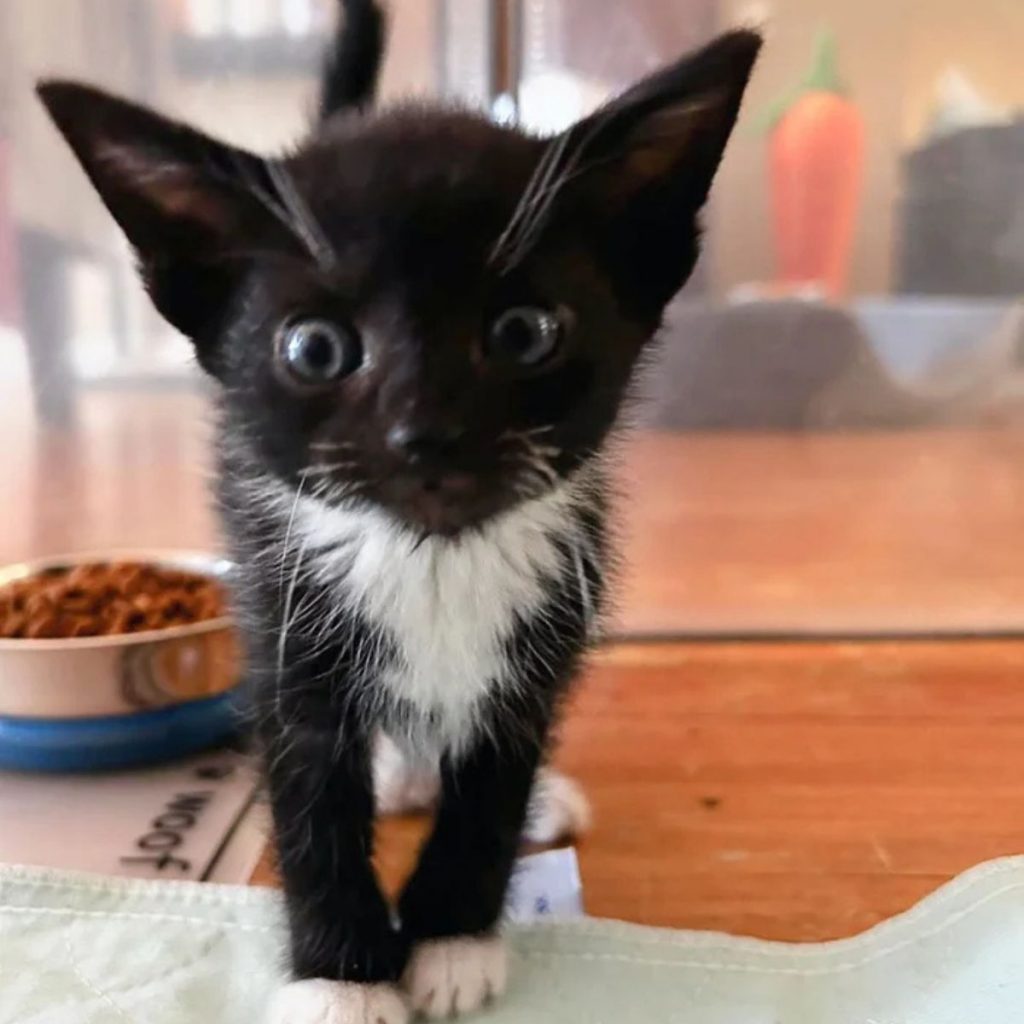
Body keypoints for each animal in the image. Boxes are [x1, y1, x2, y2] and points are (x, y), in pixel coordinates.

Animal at [37, 4, 761, 1019]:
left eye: (525, 332)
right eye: (314, 348)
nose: (428, 434)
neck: (432, 556)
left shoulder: (544, 632)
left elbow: (489, 788)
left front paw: (451, 938)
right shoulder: (281, 618)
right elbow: (310, 797)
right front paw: (343, 975)